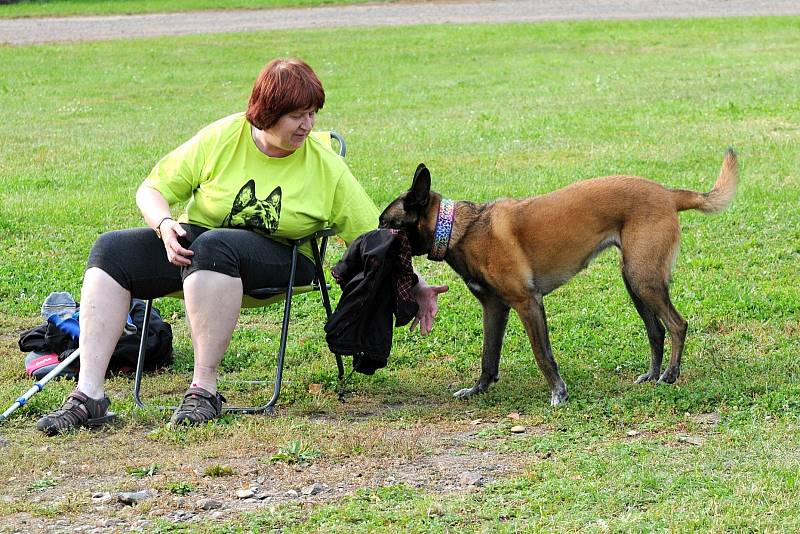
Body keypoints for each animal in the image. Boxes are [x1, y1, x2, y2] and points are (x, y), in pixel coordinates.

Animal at [380, 149, 736, 404]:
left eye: (386, 223)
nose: (369, 240)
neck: (460, 229)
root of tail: (667, 193)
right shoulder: (495, 309)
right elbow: (488, 357)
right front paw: (477, 389)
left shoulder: (528, 303)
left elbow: (543, 355)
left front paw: (558, 393)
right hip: (634, 280)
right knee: (656, 331)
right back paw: (651, 374)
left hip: (643, 279)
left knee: (677, 325)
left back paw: (671, 375)